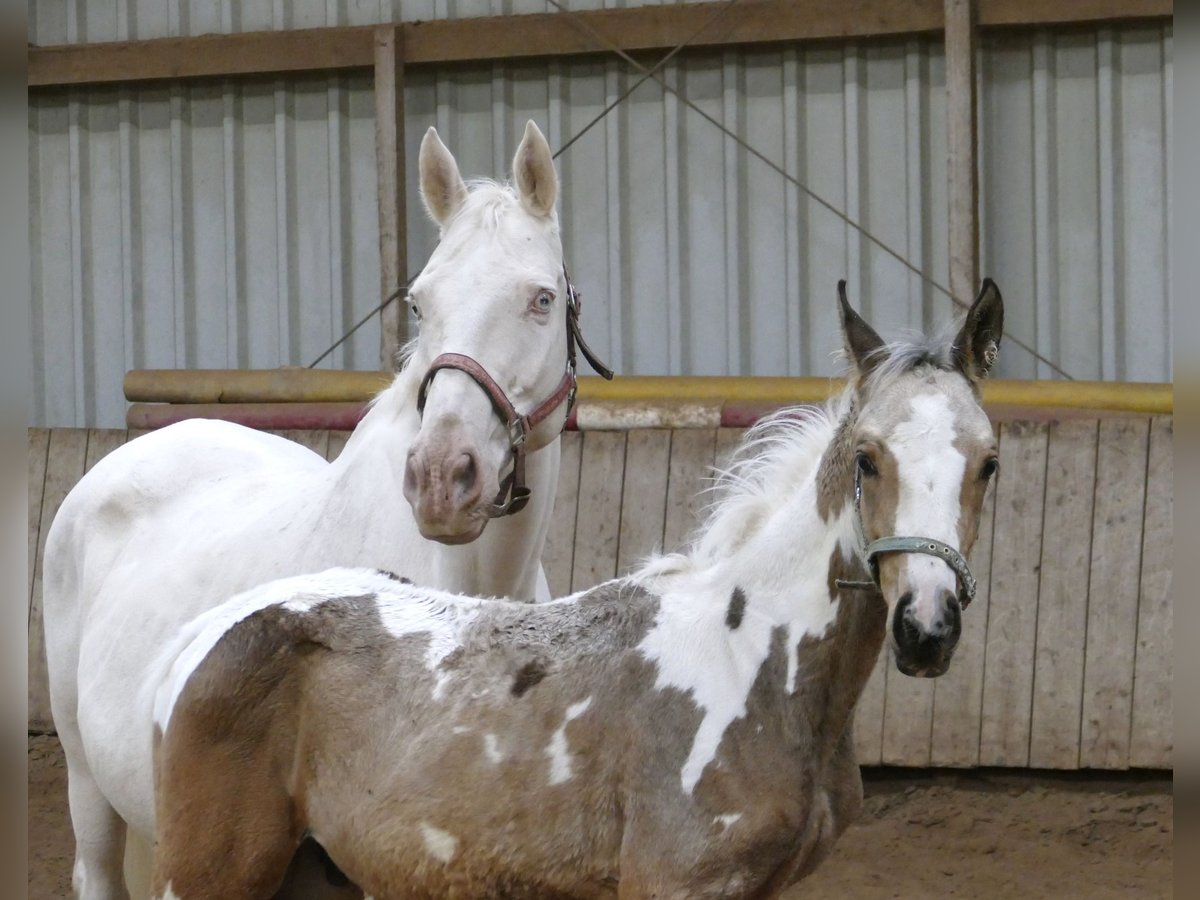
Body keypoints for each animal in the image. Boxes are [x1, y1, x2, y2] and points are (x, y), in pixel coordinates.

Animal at [148, 280, 1004, 899]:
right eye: (867, 458)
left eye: (989, 462)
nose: (926, 628)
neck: (752, 657)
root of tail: (205, 634)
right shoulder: (674, 886)